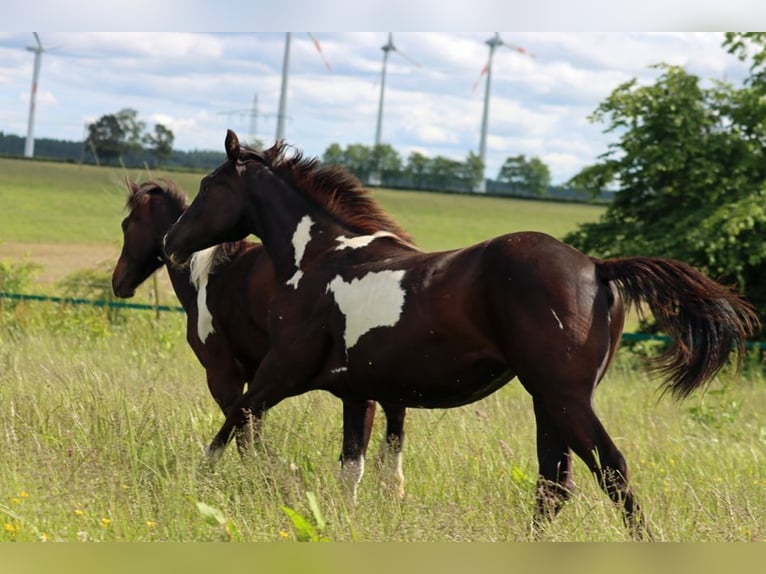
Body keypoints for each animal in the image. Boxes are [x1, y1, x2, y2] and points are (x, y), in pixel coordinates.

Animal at [111, 178, 408, 497]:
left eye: (126, 224)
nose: (118, 282)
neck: (205, 275)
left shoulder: (223, 374)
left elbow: (243, 428)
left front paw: (274, 476)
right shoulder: (258, 376)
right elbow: (251, 428)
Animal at [163, 130, 759, 539]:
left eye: (209, 186)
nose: (171, 241)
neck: (318, 258)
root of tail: (596, 268)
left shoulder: (281, 372)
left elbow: (229, 427)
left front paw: (197, 490)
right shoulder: (356, 392)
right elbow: (349, 470)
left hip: (565, 397)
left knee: (609, 472)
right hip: (548, 400)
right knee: (554, 484)